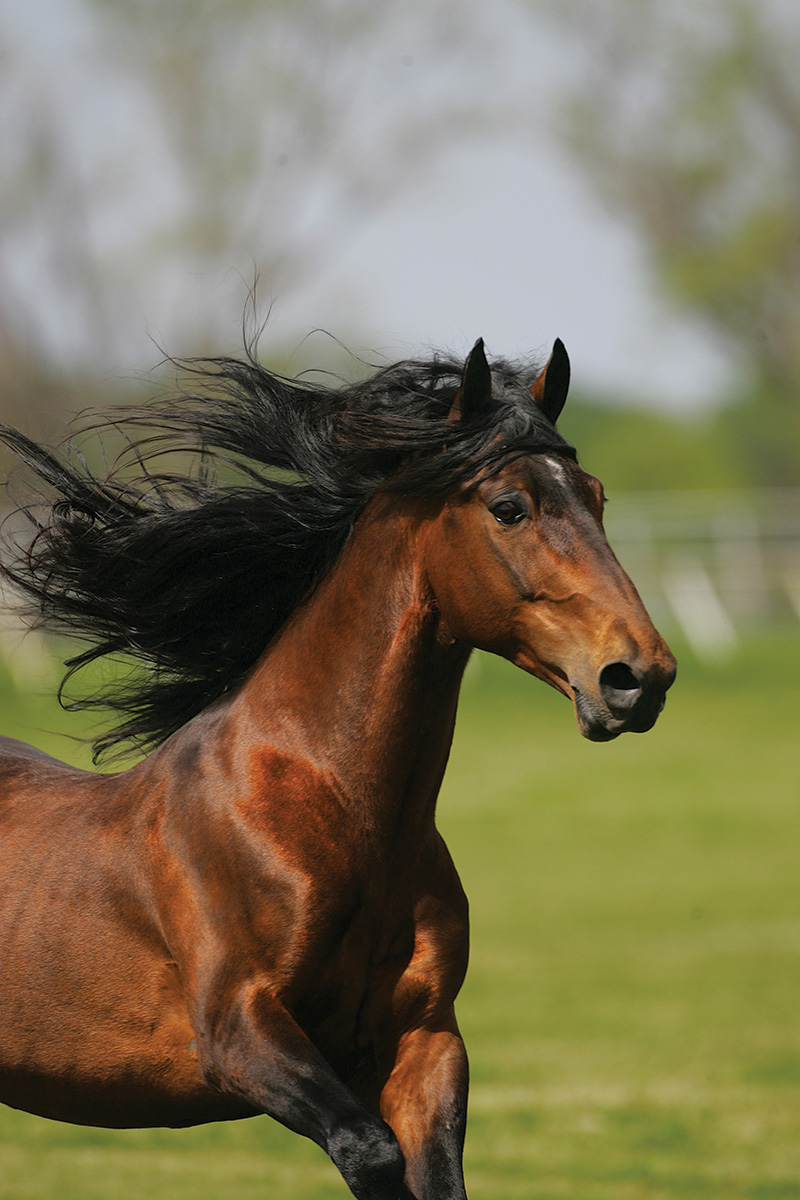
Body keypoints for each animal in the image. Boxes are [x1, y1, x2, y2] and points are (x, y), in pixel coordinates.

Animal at [0, 337, 675, 1199]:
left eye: (595, 495)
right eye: (509, 507)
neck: (330, 814)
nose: (638, 677)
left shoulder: (424, 1040)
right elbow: (371, 1150)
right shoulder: (240, 1031)